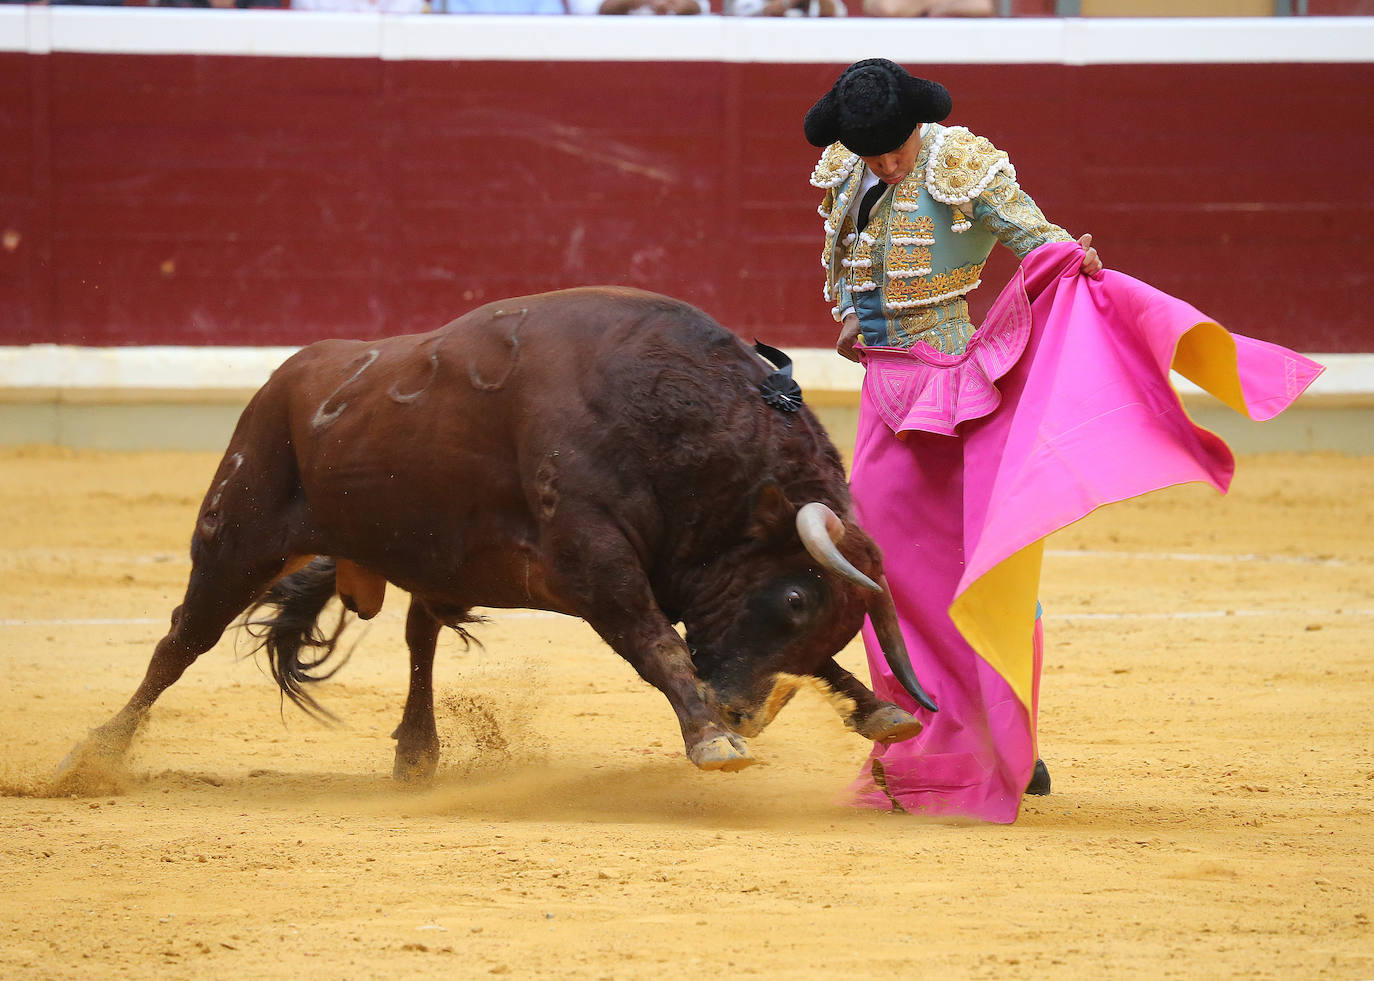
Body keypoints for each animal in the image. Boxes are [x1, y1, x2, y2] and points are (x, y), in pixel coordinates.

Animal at [53, 284, 934, 785]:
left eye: (828, 618)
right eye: (793, 598)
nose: (747, 715)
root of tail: (286, 376)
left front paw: (874, 709)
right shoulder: (595, 561)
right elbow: (659, 644)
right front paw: (712, 740)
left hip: (430, 555)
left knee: (418, 634)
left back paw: (417, 751)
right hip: (233, 534)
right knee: (179, 643)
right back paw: (91, 756)